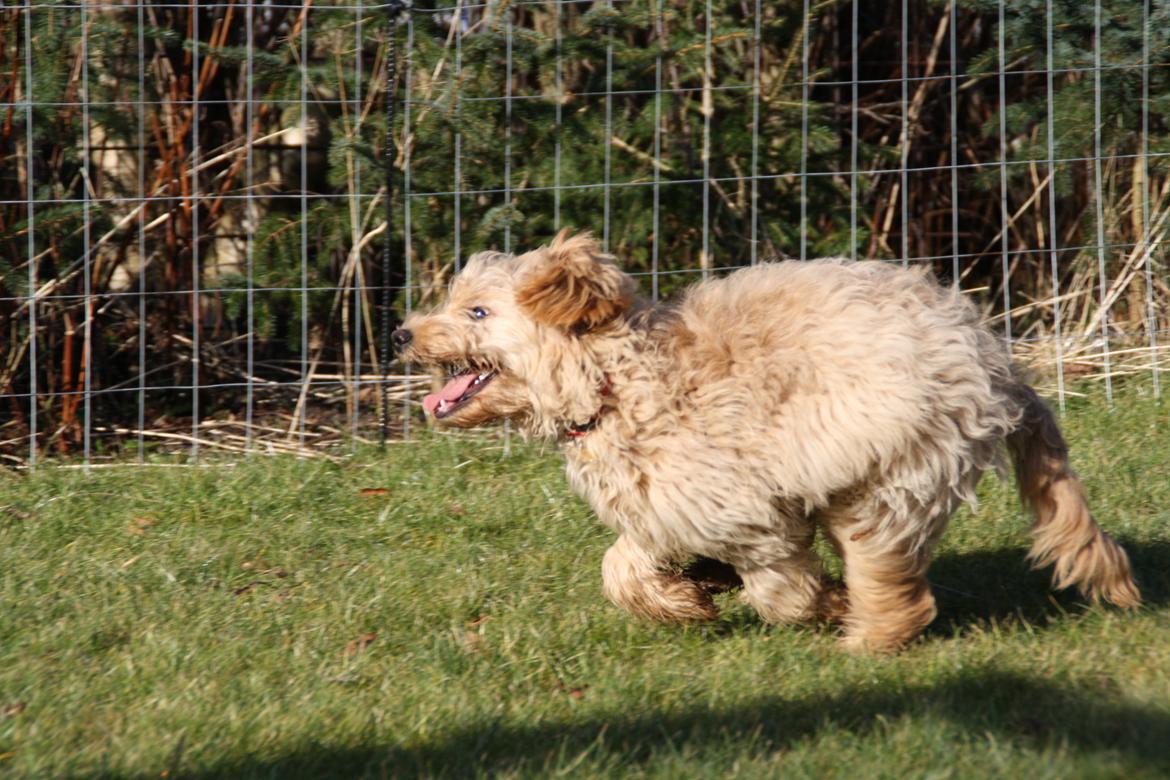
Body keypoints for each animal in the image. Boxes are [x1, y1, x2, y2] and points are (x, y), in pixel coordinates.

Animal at [395, 230, 1141, 654]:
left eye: (478, 311)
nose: (403, 332)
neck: (616, 380)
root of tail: (992, 357)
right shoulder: (664, 507)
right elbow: (621, 568)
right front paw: (685, 599)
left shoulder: (747, 513)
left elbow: (782, 589)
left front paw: (813, 602)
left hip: (889, 479)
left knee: (892, 581)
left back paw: (865, 638)